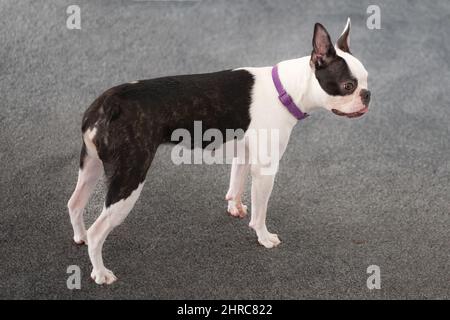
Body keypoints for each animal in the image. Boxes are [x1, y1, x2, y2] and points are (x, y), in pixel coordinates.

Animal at [67, 19, 370, 284]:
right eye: (348, 86)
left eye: (367, 80)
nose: (367, 95)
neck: (285, 90)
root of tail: (106, 104)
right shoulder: (266, 170)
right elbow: (260, 210)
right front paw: (263, 236)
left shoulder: (244, 154)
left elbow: (236, 182)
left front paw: (235, 206)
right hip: (129, 179)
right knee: (97, 231)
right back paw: (101, 273)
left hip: (91, 165)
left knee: (75, 203)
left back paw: (79, 237)